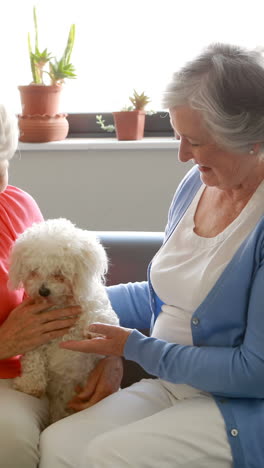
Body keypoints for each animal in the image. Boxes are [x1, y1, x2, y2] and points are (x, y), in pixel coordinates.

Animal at [7, 219, 118, 424]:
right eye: (34, 272)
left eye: (58, 273)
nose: (43, 291)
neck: (60, 304)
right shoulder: (34, 336)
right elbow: (33, 361)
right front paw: (29, 385)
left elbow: (98, 316)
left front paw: (95, 329)